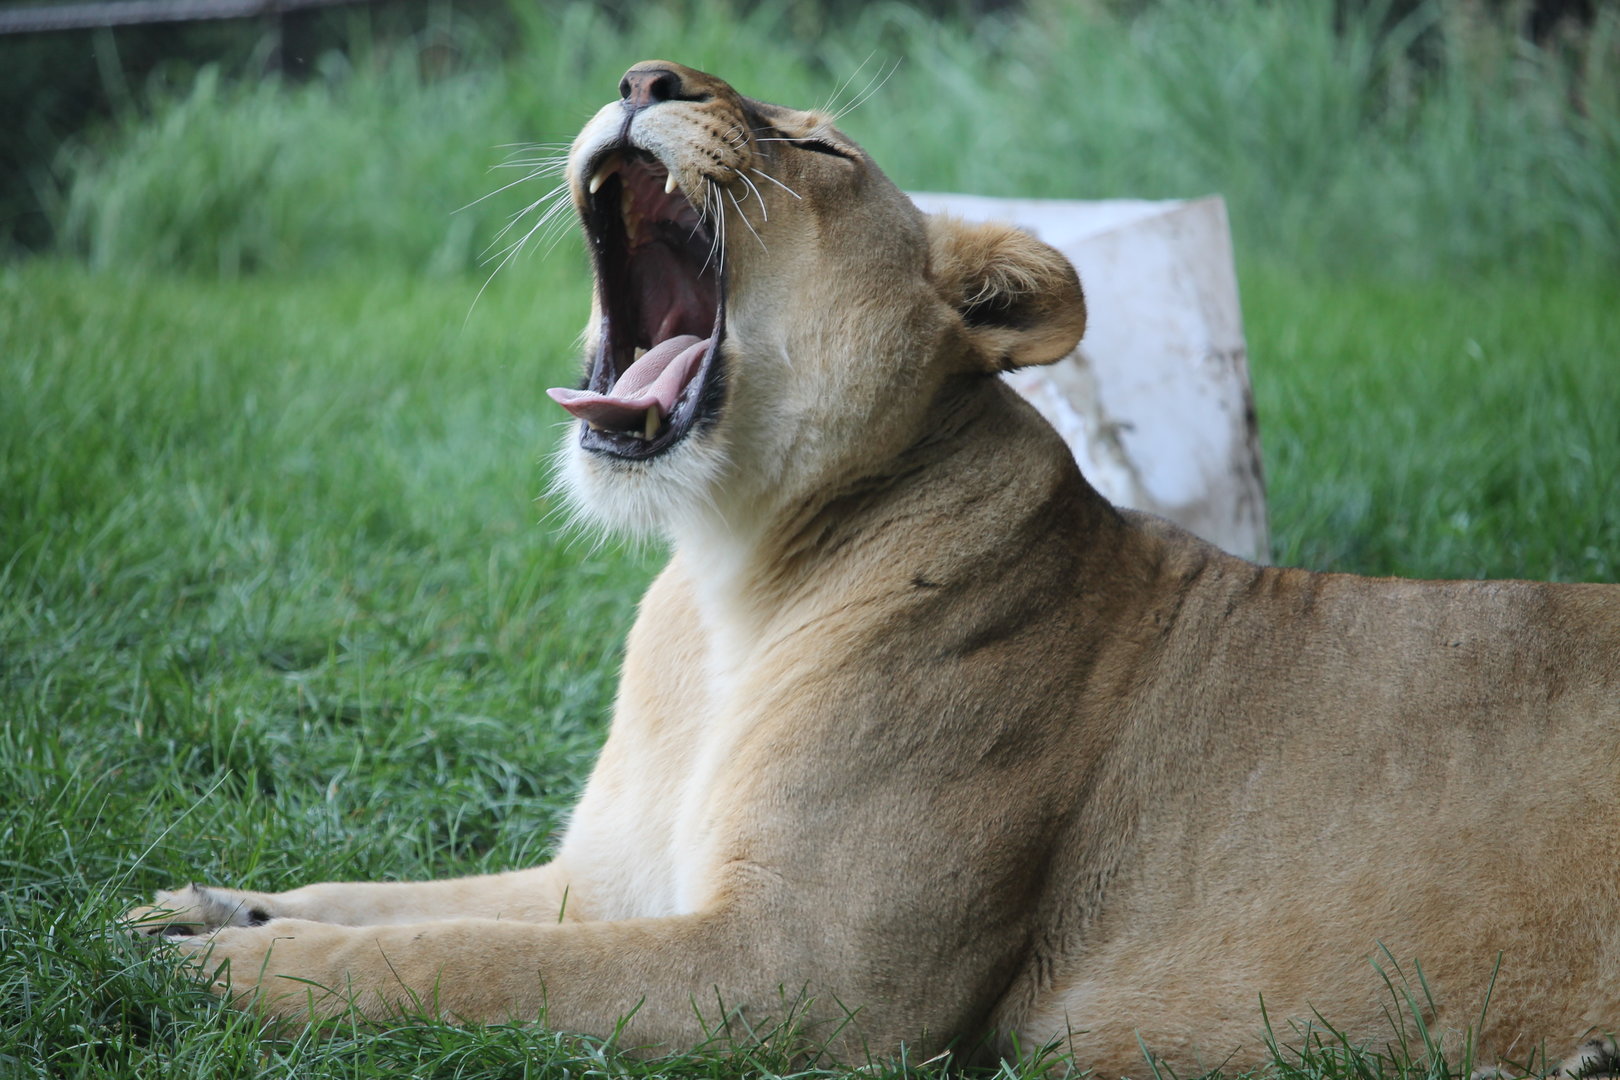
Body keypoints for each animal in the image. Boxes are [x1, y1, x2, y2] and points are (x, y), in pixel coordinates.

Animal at [131, 61, 1620, 1078]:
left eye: (815, 143)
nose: (642, 79)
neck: (728, 574)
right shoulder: (615, 881)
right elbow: (400, 898)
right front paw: (189, 909)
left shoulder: (805, 978)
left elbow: (457, 964)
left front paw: (225, 978)